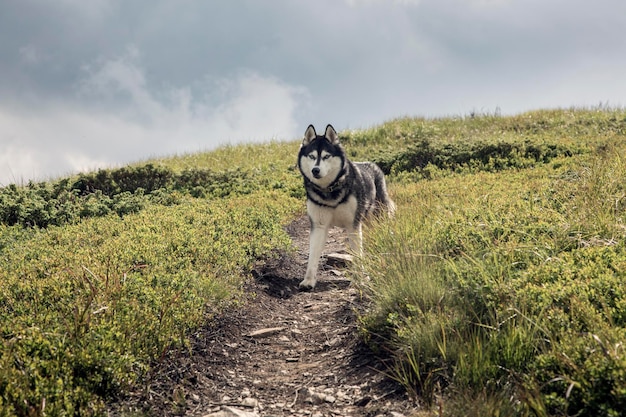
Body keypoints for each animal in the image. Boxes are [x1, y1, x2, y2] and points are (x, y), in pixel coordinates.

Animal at [296, 123, 392, 290]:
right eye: (312, 156)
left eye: (326, 156)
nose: (315, 170)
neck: (329, 191)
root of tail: (371, 164)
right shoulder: (319, 226)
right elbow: (313, 256)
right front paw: (308, 281)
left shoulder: (353, 225)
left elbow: (357, 254)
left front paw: (360, 279)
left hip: (379, 216)